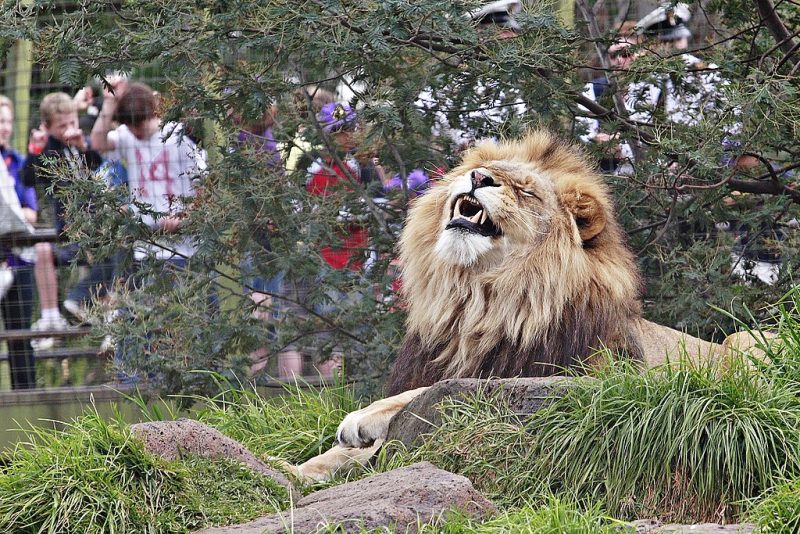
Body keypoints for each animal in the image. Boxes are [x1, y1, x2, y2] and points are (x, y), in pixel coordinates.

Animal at [292, 132, 768, 484]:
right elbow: (336, 456)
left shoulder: (592, 378)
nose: (479, 176)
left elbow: (429, 393)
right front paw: (295, 471)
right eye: (476, 171)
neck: (478, 303)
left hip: (746, 341)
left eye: (524, 191)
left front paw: (362, 418)